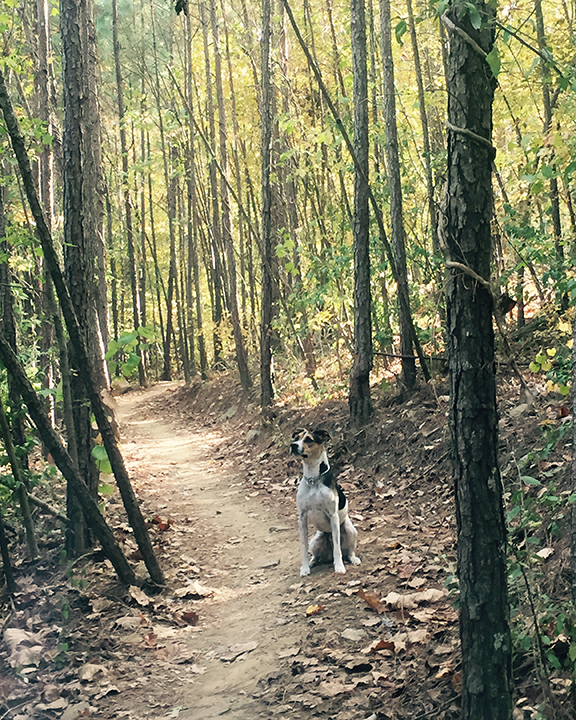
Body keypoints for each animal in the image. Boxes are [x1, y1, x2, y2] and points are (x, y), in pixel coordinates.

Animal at [292, 430, 360, 576]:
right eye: (296, 438)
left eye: (308, 439)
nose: (293, 445)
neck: (313, 480)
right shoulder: (302, 518)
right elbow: (303, 547)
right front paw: (304, 568)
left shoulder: (333, 515)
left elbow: (337, 548)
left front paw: (339, 566)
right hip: (315, 541)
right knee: (316, 555)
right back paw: (312, 562)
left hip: (350, 530)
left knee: (348, 551)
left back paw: (353, 559)